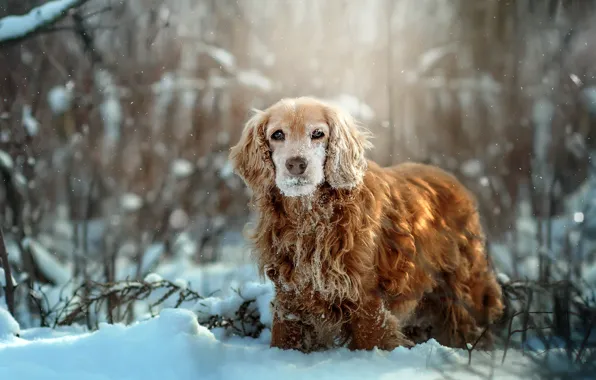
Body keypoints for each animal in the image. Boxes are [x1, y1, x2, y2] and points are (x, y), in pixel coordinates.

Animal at [228, 96, 502, 352]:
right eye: (277, 134)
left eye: (318, 133)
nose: (296, 164)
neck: (310, 215)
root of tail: (453, 180)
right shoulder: (290, 293)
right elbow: (285, 337)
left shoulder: (364, 295)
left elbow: (371, 338)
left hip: (463, 285)